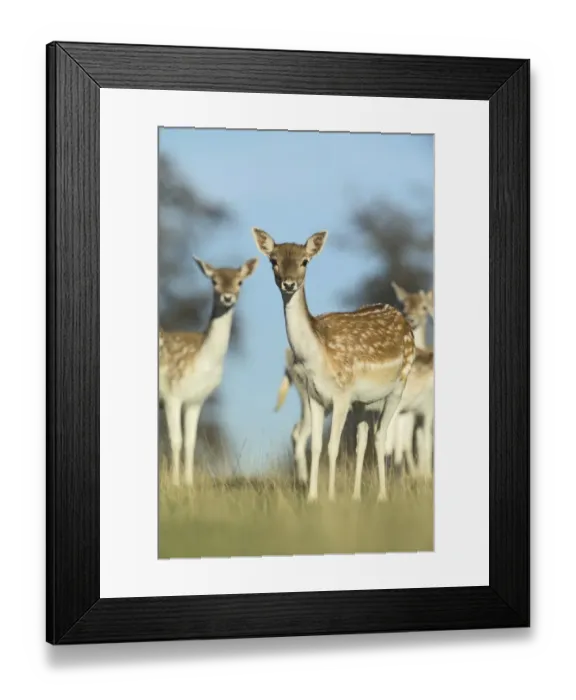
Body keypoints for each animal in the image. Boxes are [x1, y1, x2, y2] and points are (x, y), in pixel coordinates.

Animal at [159, 256, 259, 487]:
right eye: (214, 281)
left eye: (240, 282)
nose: (228, 297)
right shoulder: (171, 394)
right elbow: (176, 440)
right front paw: (175, 483)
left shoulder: (196, 400)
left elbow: (190, 441)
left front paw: (188, 483)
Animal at [252, 227, 416, 503]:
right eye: (273, 261)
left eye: (305, 261)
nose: (289, 283)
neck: (317, 357)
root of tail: (401, 319)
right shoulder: (315, 397)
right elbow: (317, 445)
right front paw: (312, 496)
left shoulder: (341, 395)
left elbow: (333, 446)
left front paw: (329, 497)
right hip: (362, 402)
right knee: (362, 439)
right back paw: (357, 495)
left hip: (399, 386)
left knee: (380, 435)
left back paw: (382, 495)